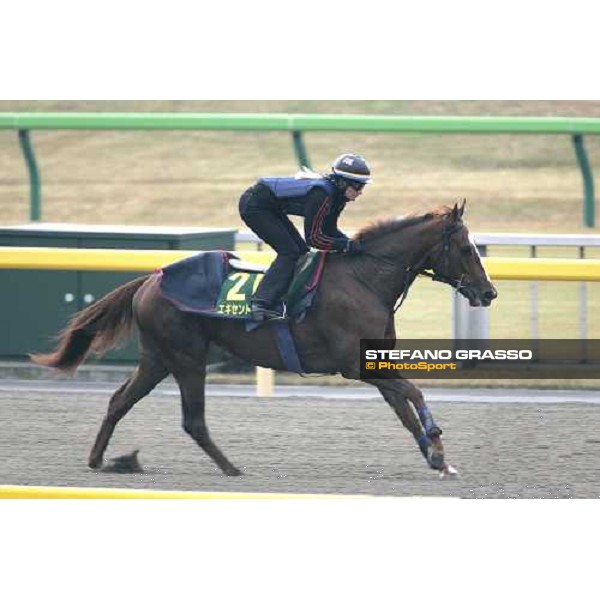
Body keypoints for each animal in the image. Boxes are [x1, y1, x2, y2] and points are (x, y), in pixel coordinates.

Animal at [31, 204, 496, 476]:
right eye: (467, 248)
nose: (489, 292)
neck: (365, 278)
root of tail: (152, 277)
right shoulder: (352, 364)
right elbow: (414, 393)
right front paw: (437, 444)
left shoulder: (374, 358)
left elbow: (403, 407)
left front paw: (436, 457)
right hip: (186, 358)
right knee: (193, 420)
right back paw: (232, 469)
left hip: (157, 358)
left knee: (118, 401)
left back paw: (97, 460)